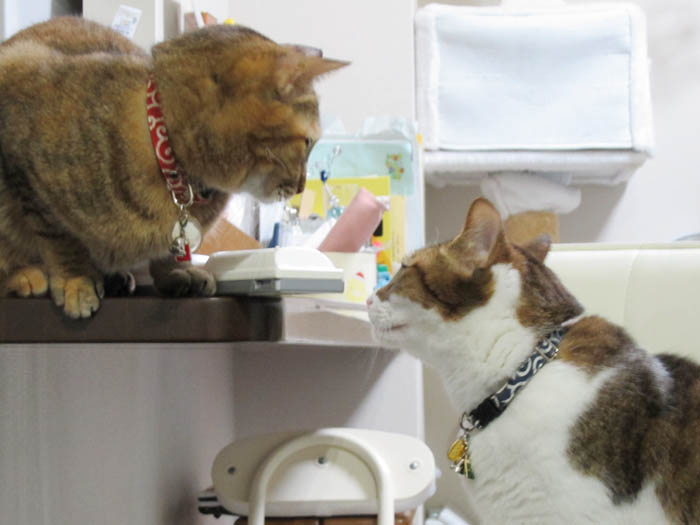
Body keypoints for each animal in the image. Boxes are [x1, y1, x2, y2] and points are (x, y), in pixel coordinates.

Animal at [0, 17, 346, 318]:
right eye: (308, 142)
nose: (301, 186)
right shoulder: (23, 169)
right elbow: (60, 239)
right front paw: (76, 281)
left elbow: (171, 250)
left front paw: (178, 271)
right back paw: (28, 276)